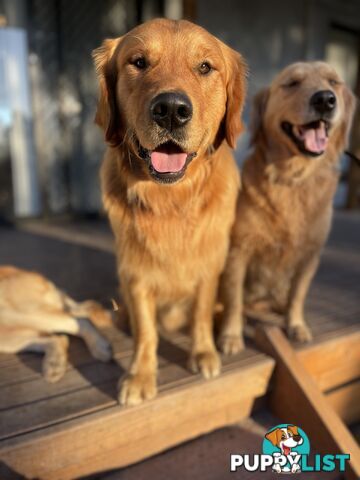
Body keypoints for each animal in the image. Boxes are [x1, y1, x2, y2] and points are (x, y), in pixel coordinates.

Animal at [93, 18, 248, 404]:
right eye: (138, 62)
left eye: (205, 67)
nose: (172, 110)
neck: (172, 202)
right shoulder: (135, 273)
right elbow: (146, 330)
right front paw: (140, 375)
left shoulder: (208, 267)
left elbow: (201, 314)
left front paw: (204, 353)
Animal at [218, 62, 356, 352]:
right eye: (292, 83)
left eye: (334, 81)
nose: (325, 100)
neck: (293, 177)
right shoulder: (238, 251)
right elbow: (234, 301)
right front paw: (231, 335)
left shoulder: (310, 255)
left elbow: (297, 296)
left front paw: (296, 325)